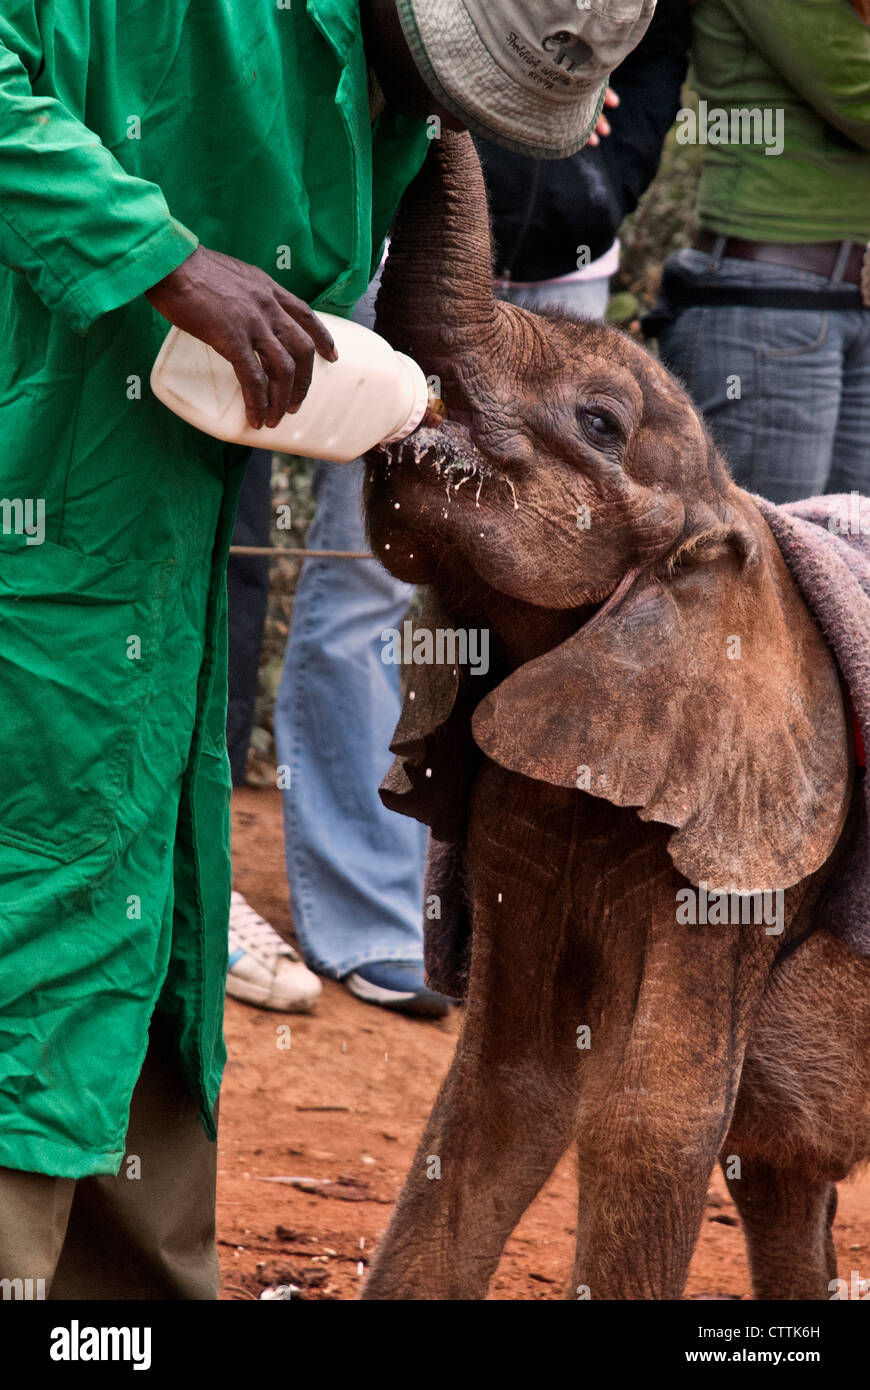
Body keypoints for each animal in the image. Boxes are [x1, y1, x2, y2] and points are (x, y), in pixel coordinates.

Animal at [358, 135, 867, 1295]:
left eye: (599, 425)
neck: (728, 506)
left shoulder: (748, 843)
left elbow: (653, 1120)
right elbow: (505, 1090)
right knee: (781, 1179)